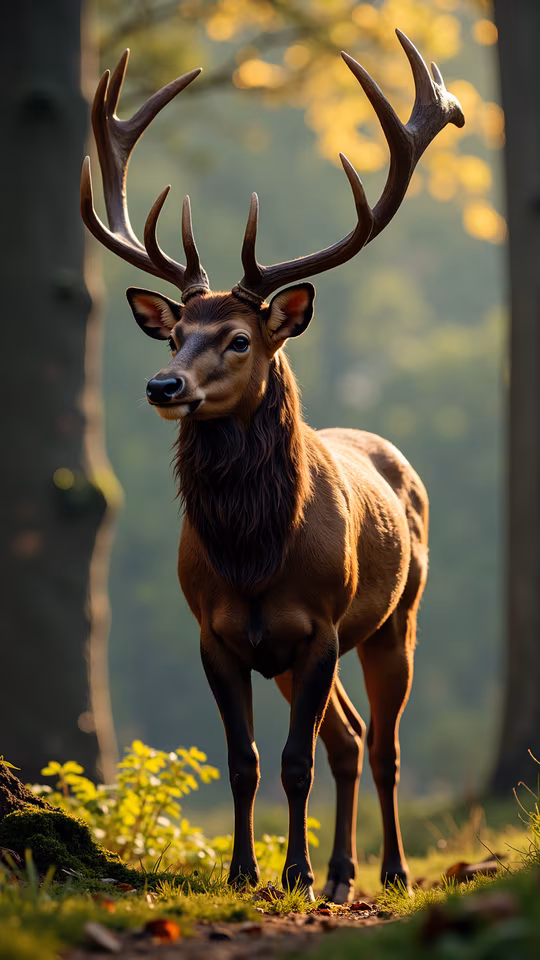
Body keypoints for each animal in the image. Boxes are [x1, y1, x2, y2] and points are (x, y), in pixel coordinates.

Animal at [81, 30, 464, 903]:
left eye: (238, 339)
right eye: (173, 332)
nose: (163, 385)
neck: (254, 557)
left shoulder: (320, 625)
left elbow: (293, 762)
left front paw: (292, 874)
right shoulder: (217, 634)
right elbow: (245, 761)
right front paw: (246, 871)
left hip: (397, 615)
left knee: (382, 744)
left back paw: (388, 872)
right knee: (349, 737)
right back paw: (343, 874)